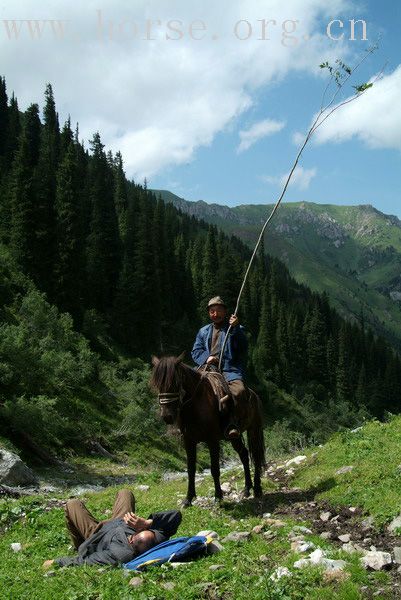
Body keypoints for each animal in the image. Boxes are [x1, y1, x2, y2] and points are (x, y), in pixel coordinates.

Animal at [152, 356, 264, 506]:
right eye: (157, 384)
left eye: (175, 383)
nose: (167, 416)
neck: (195, 405)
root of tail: (254, 395)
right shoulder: (189, 442)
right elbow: (191, 470)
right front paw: (188, 499)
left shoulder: (212, 441)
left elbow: (215, 469)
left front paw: (218, 497)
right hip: (234, 437)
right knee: (244, 455)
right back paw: (246, 489)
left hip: (254, 430)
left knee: (256, 456)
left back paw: (257, 489)